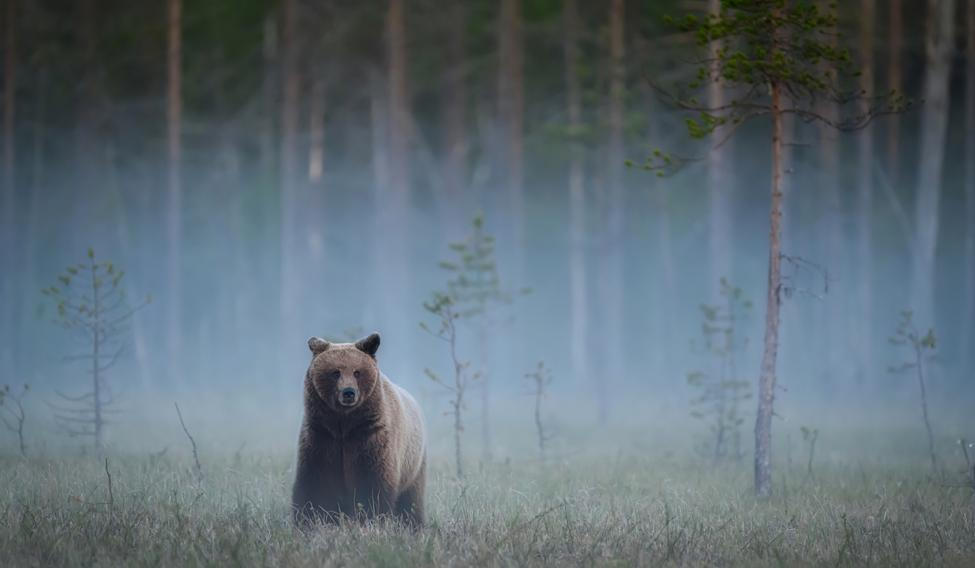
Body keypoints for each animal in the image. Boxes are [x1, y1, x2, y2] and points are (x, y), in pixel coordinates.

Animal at [291, 332, 427, 527]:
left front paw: (371, 519)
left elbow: (372, 483)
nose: (348, 392)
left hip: (413, 464)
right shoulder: (321, 434)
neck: (344, 424)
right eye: (335, 372)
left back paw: (414, 524)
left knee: (411, 501)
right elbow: (314, 482)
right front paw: (309, 520)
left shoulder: (370, 436)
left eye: (357, 372)